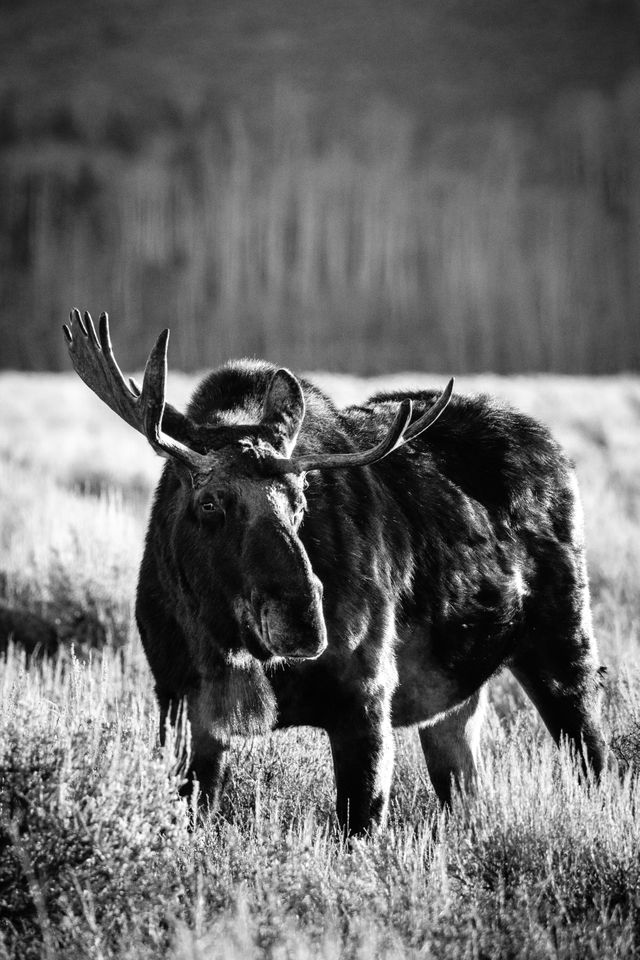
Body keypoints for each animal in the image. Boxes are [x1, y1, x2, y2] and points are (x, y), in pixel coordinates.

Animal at [63, 314, 604, 832]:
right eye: (209, 502)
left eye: (301, 498)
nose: (303, 621)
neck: (225, 642)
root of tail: (558, 453)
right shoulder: (181, 702)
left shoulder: (365, 696)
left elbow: (358, 827)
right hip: (456, 695)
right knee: (467, 790)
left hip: (563, 647)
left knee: (597, 763)